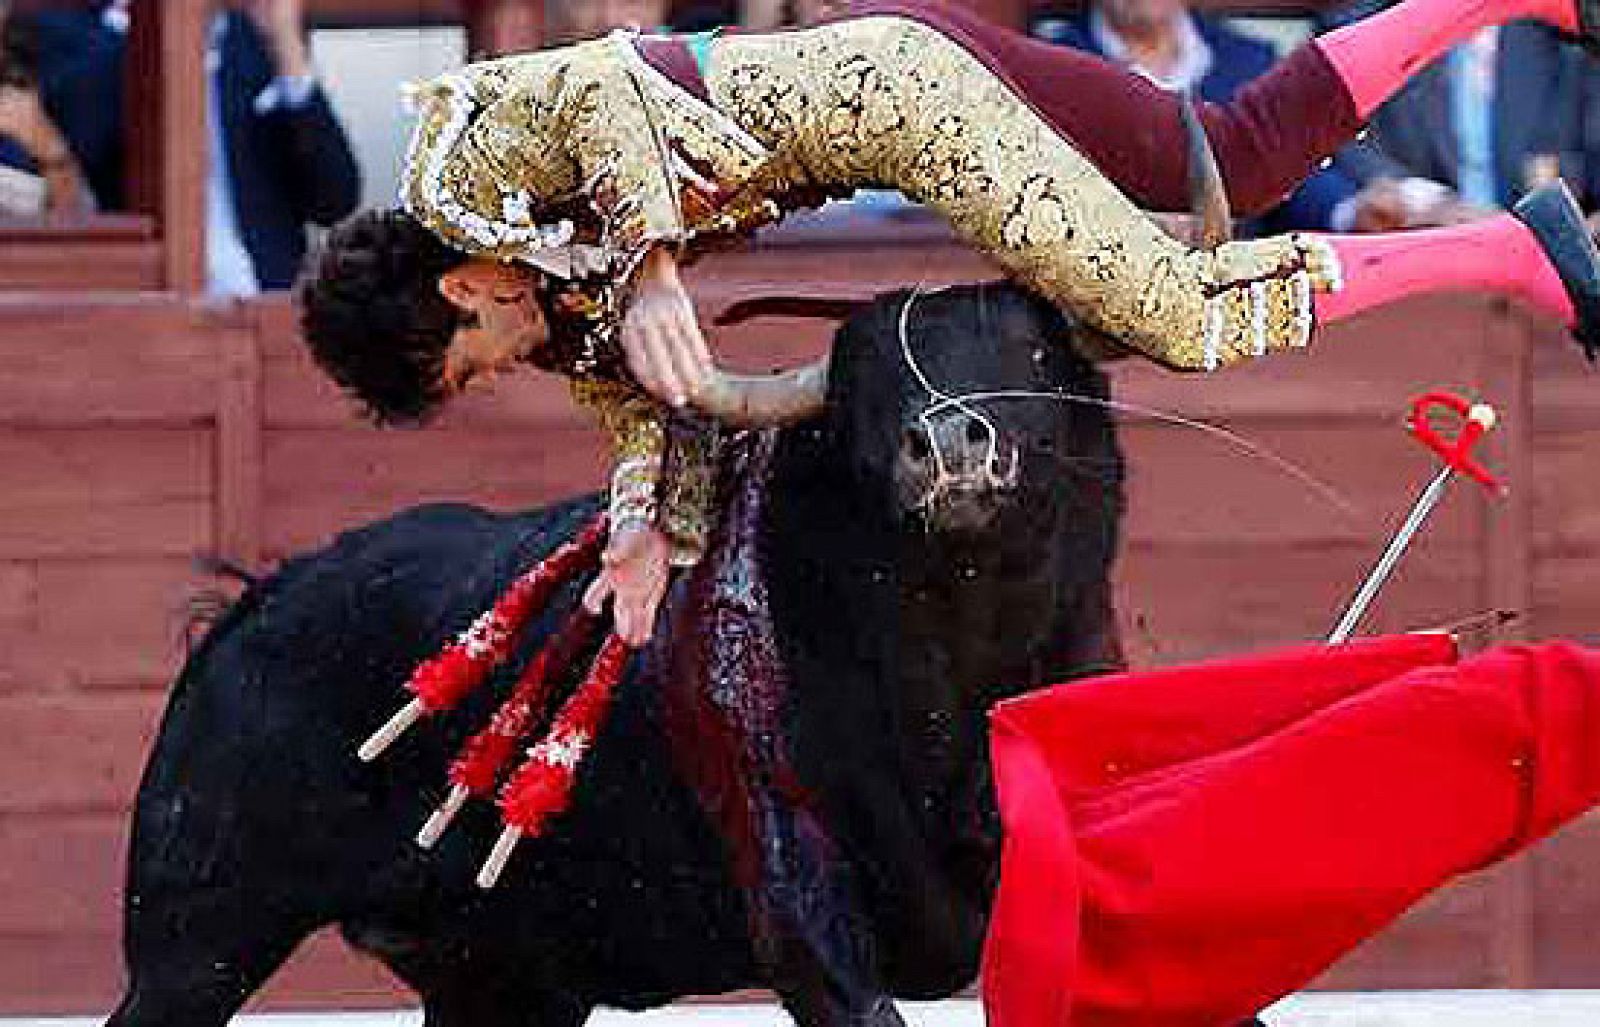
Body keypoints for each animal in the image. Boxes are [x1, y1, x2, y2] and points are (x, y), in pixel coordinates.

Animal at [112, 284, 1126, 1023]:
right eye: (860, 393)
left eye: (1032, 356)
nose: (950, 446)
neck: (953, 661)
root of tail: (257, 598)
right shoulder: (800, 907)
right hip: (196, 943)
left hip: (498, 981)